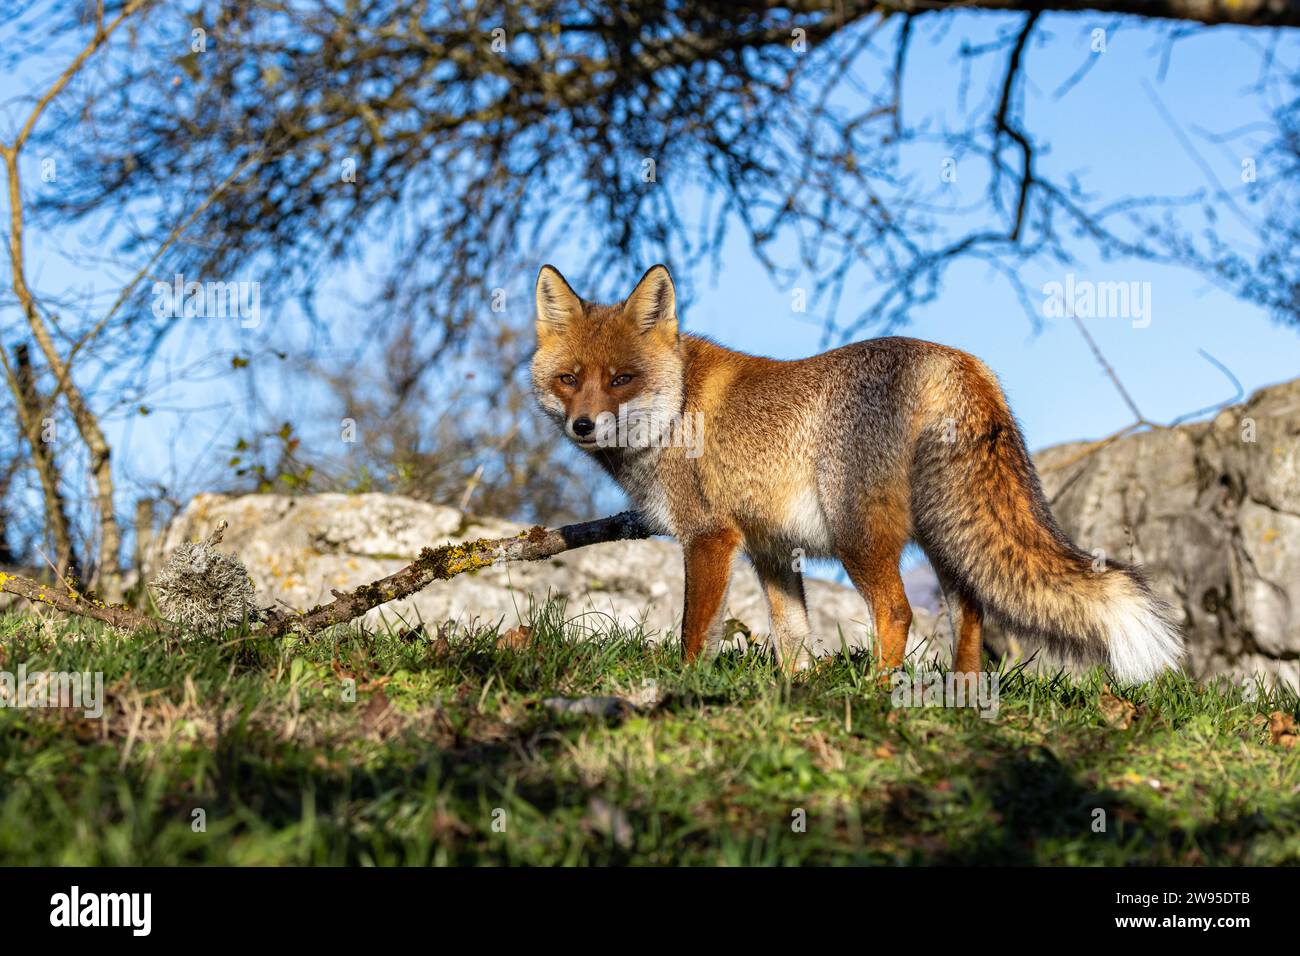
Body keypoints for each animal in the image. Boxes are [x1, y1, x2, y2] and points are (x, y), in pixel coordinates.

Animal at [530, 261, 1190, 681]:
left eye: (622, 379)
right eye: (570, 379)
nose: (584, 426)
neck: (677, 410)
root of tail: (957, 361)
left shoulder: (710, 537)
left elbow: (695, 632)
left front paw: (685, 689)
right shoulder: (772, 550)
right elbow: (793, 638)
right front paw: (794, 693)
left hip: (859, 535)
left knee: (896, 613)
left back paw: (876, 692)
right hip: (942, 538)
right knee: (971, 612)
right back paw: (964, 696)